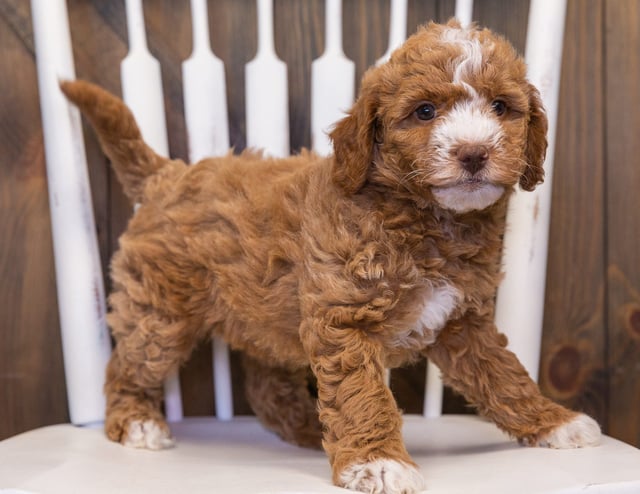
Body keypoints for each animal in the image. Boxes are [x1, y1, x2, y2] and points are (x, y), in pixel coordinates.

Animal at [60, 19, 600, 494]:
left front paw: (553, 421)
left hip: (263, 313)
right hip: (162, 311)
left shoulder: (463, 322)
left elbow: (504, 376)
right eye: (425, 112)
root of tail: (168, 175)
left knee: (265, 384)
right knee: (128, 364)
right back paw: (136, 422)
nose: (473, 152)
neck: (425, 220)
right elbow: (364, 395)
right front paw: (378, 462)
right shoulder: (344, 318)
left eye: (501, 106)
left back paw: (307, 428)